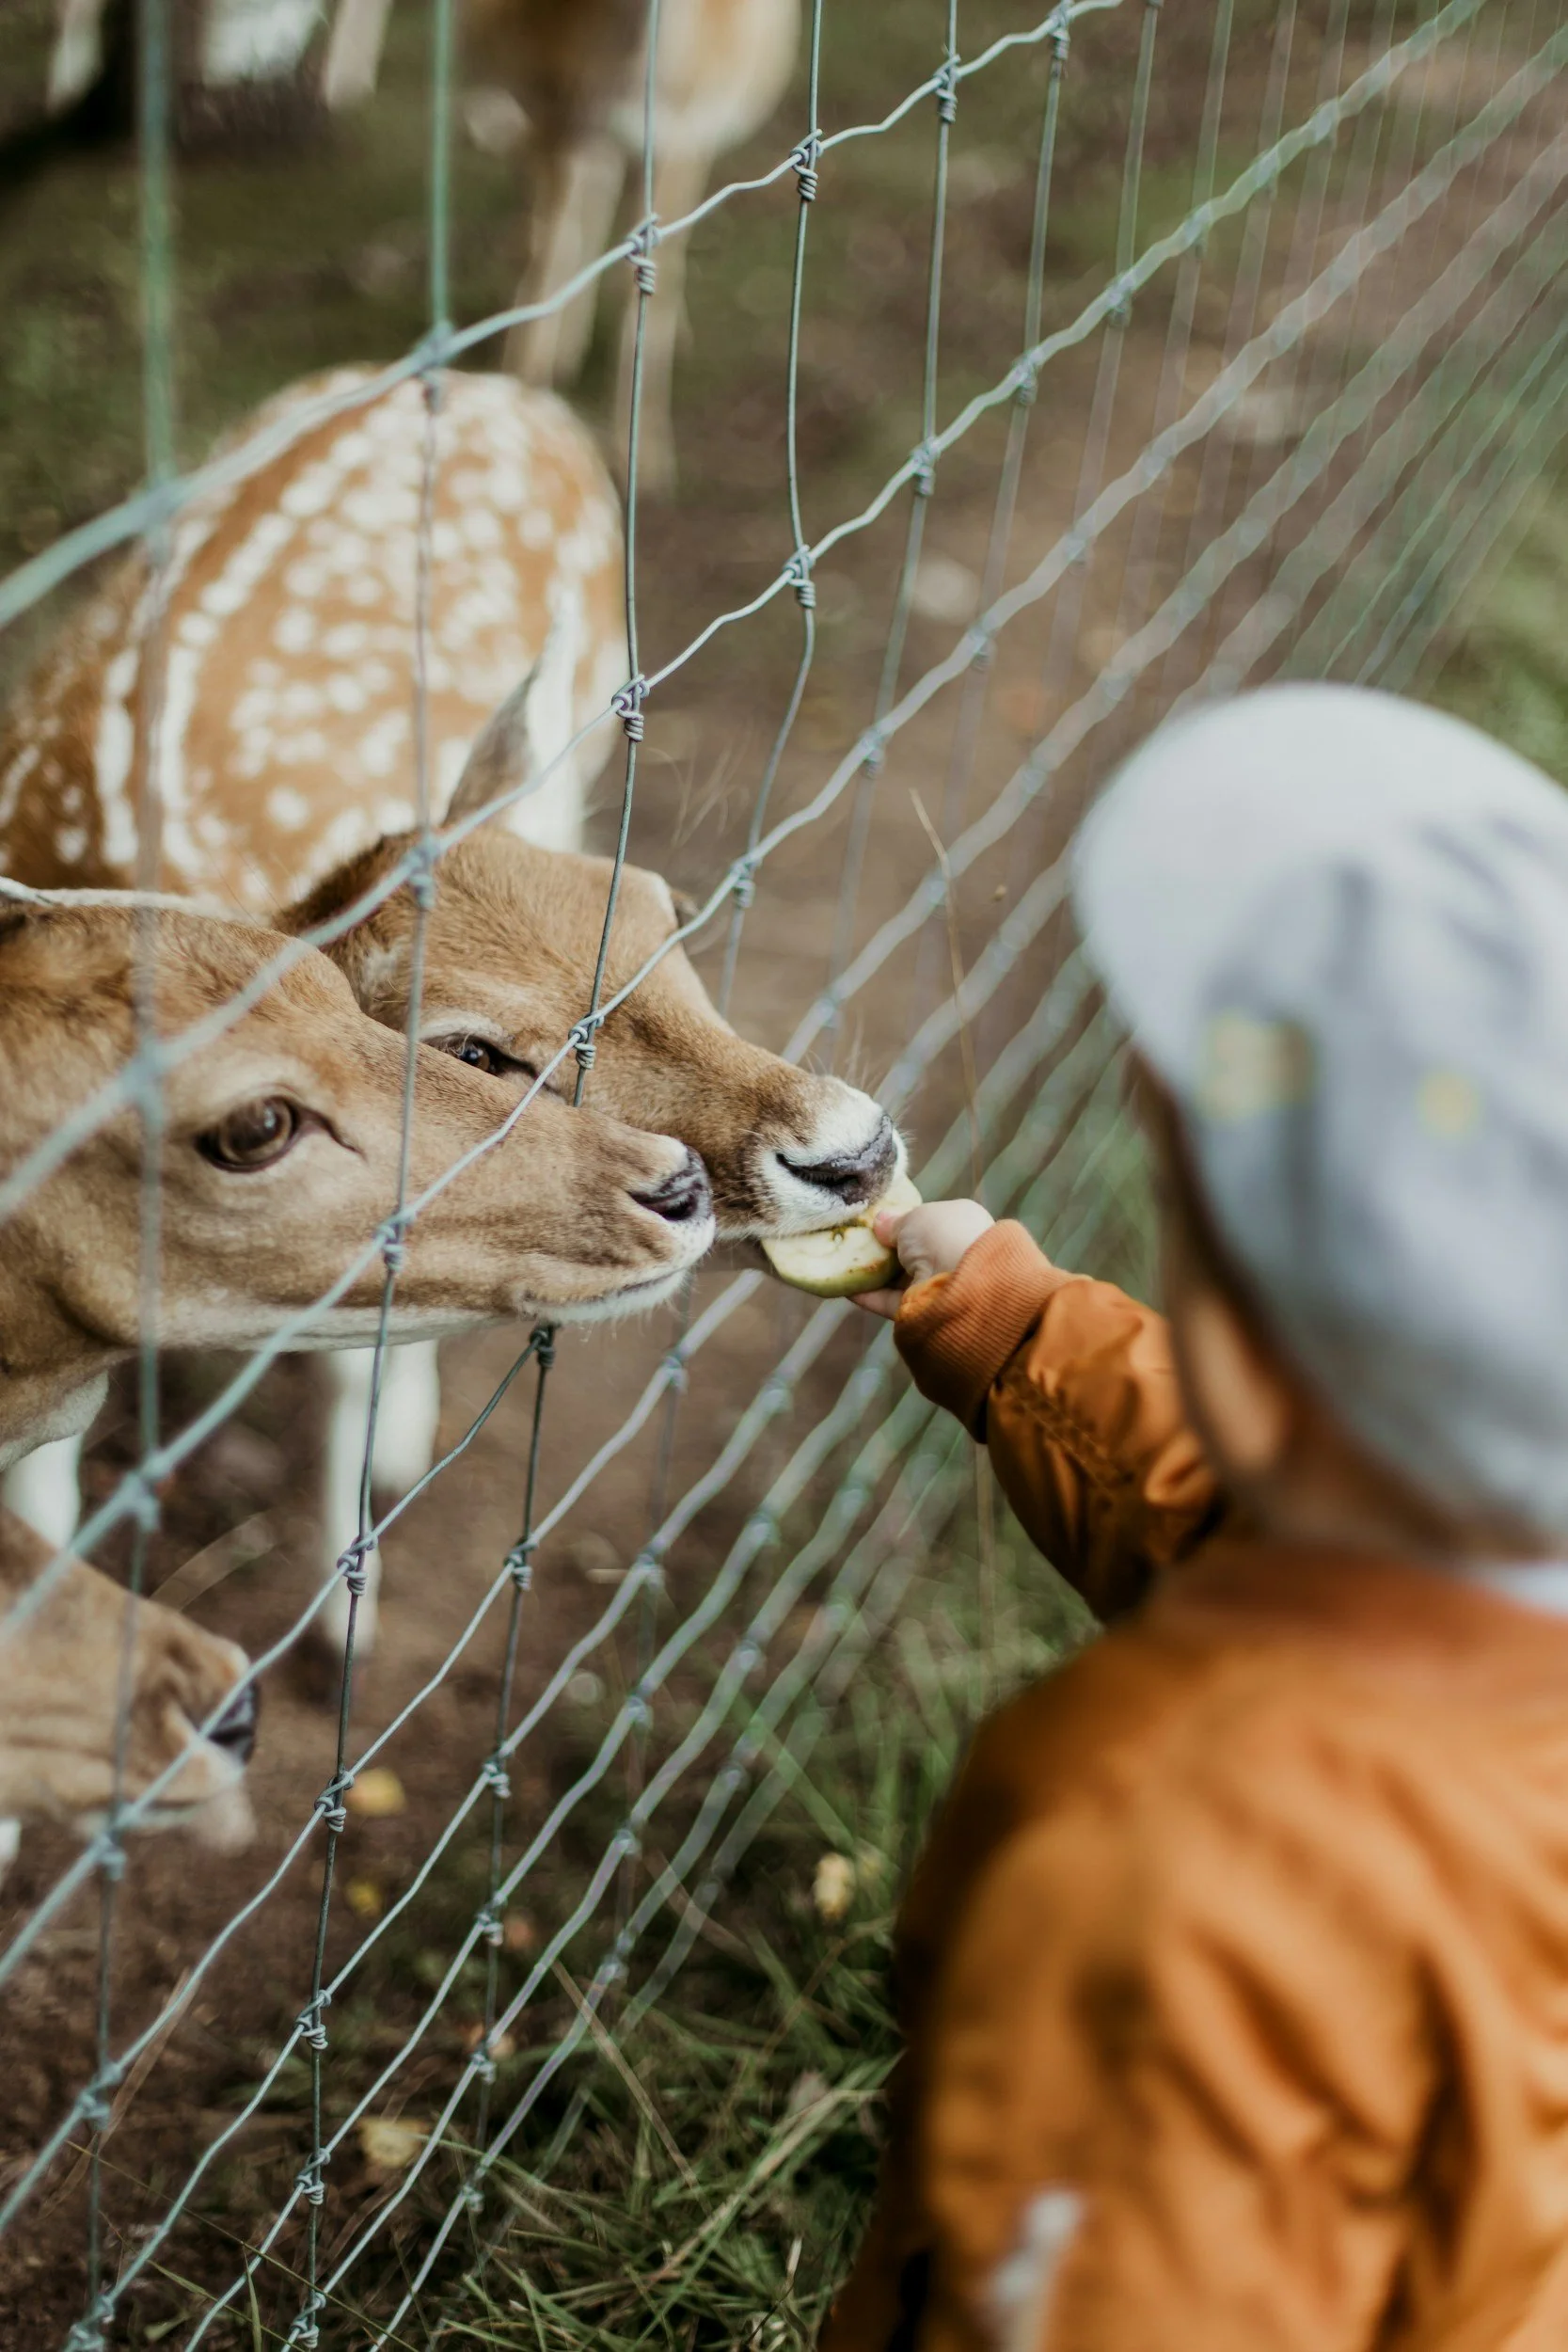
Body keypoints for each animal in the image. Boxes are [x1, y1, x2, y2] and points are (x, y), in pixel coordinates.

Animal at [320, 0, 802, 496]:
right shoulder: (558, 121)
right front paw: (525, 395)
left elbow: (650, 281)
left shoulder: (678, 136)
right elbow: (548, 259)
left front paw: (644, 461)